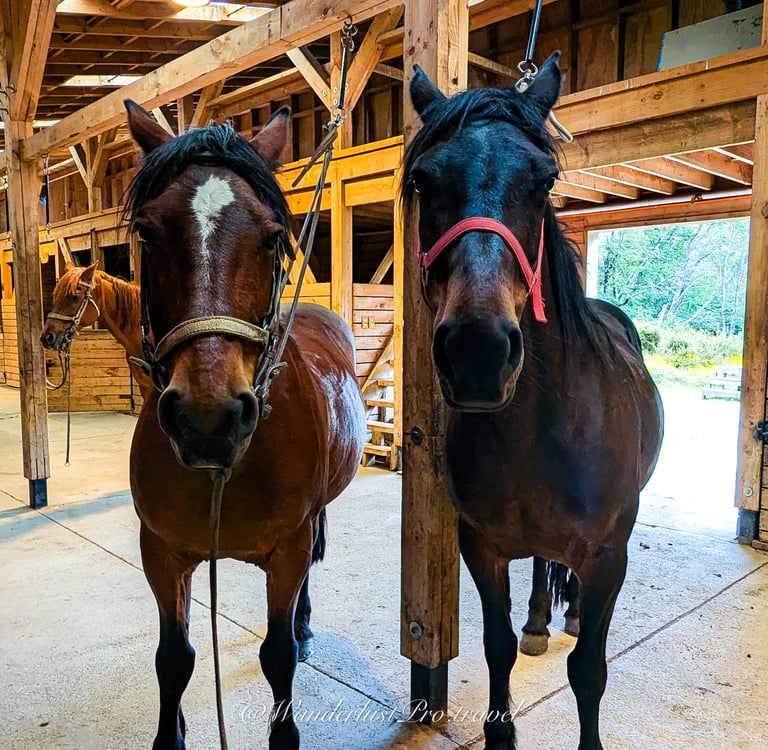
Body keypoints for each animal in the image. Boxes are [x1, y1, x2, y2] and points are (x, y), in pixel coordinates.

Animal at [122, 101, 365, 750]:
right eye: (146, 234)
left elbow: (277, 655)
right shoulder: (161, 552)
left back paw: (305, 627)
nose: (208, 418)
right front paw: (171, 734)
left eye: (274, 237)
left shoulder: (287, 548)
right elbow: (173, 658)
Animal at [403, 52, 663, 750]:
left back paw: (564, 616)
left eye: (544, 181)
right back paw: (542, 619)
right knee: (544, 565)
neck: (538, 430)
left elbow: (590, 671)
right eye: (423, 181)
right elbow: (495, 649)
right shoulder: (481, 547)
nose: (478, 352)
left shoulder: (608, 558)